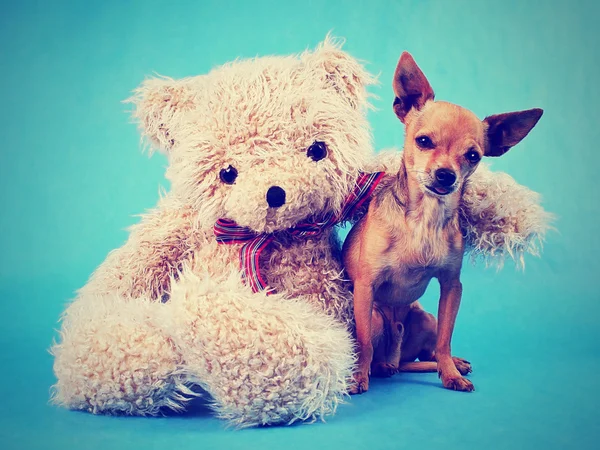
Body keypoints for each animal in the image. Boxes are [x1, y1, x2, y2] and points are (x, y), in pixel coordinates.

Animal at [342, 51, 544, 392]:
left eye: (473, 156)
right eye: (423, 141)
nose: (446, 175)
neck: (425, 219)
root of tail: (395, 359)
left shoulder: (451, 287)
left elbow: (445, 340)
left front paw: (450, 373)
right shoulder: (366, 287)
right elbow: (364, 341)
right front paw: (357, 376)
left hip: (425, 318)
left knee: (424, 353)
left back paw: (445, 364)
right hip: (379, 316)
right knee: (383, 351)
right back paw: (379, 367)